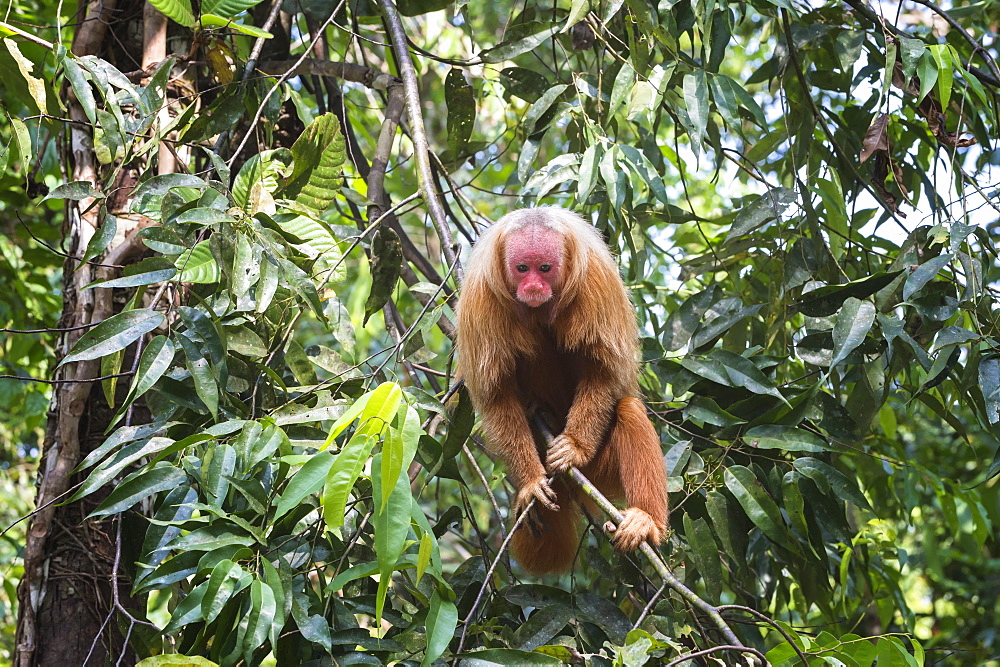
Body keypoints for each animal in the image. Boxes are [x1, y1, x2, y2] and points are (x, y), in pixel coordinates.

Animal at [458, 207, 668, 576]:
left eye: (544, 268)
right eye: (522, 269)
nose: (532, 286)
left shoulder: (596, 280)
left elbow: (604, 371)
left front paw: (574, 448)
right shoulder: (481, 297)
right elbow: (497, 393)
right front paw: (530, 483)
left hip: (600, 472)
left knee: (628, 409)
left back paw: (646, 520)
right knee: (531, 340)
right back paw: (540, 411)